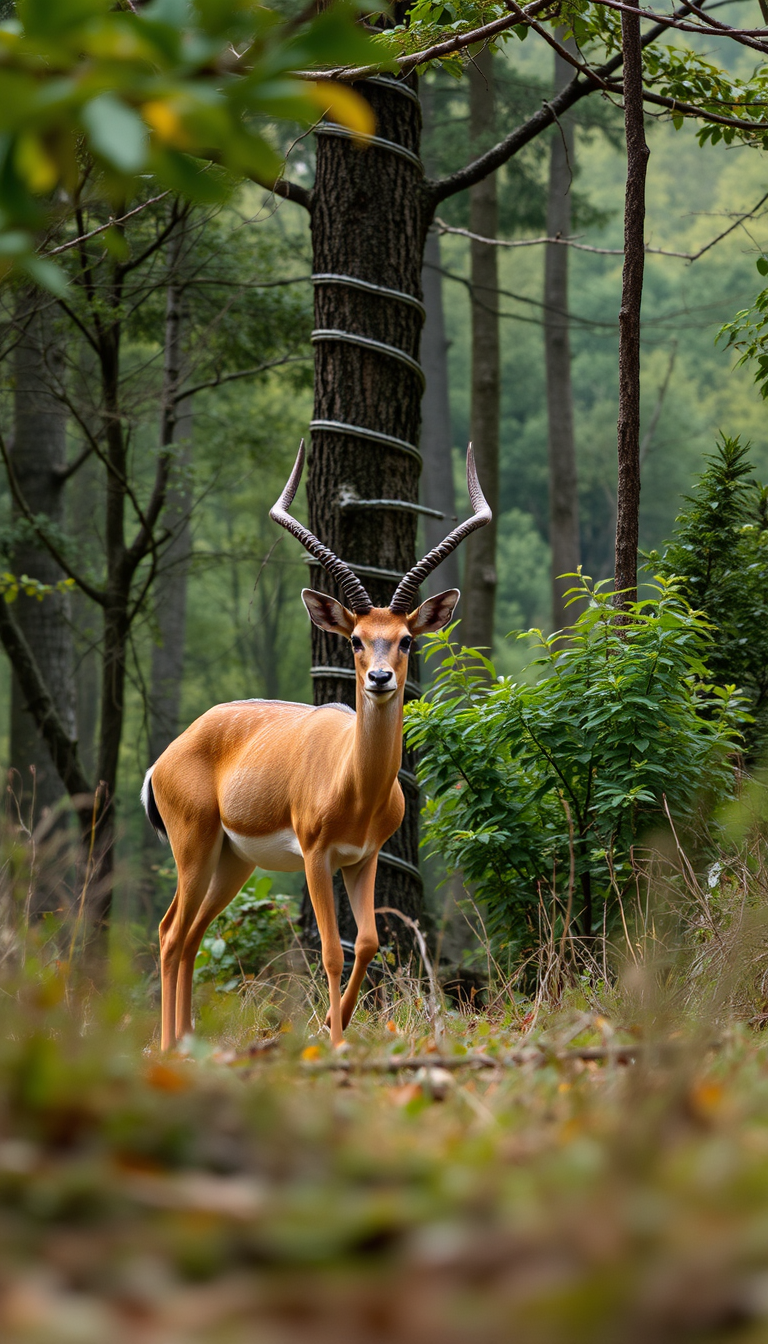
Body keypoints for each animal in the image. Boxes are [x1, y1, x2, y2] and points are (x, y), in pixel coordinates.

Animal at [143, 442, 490, 1050]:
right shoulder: (315, 856)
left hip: (231, 862)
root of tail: (169, 755)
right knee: (169, 933)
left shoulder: (364, 858)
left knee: (189, 935)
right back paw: (168, 1047)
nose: (380, 679)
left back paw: (187, 1042)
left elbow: (369, 943)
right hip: (194, 847)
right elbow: (330, 951)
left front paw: (335, 1024)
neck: (354, 785)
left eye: (405, 639)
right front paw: (334, 1042)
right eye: (355, 640)